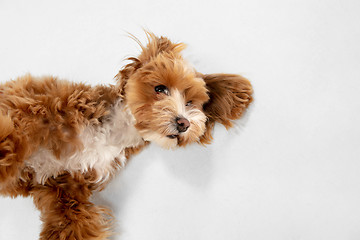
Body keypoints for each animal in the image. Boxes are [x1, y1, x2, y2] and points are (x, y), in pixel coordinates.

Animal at [0, 32, 253, 240]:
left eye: (190, 103)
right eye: (160, 89)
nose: (184, 122)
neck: (115, 131)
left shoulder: (63, 185)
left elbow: (70, 222)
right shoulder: (30, 105)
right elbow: (12, 134)